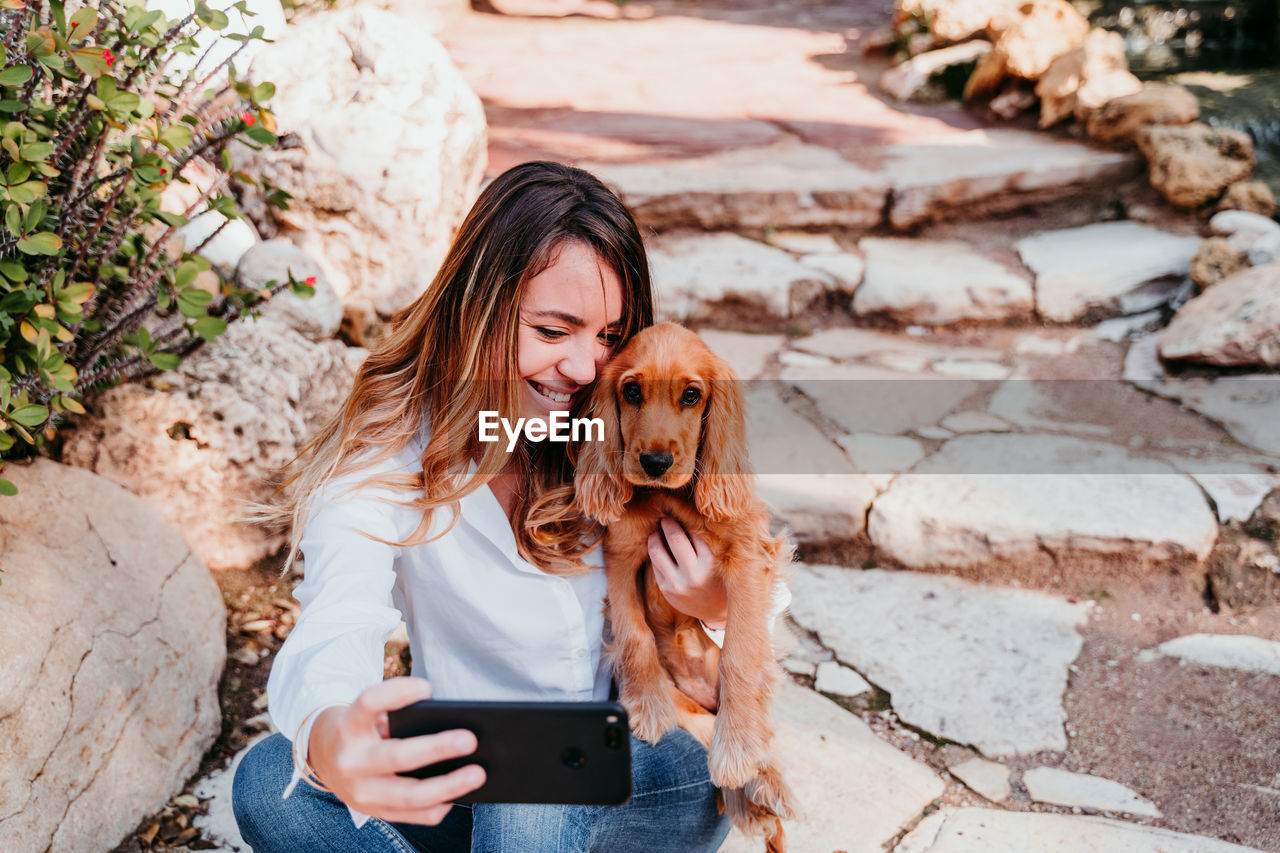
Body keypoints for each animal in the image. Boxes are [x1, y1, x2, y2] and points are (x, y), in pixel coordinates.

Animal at [578, 322, 793, 845]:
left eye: (692, 395)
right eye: (632, 392)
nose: (655, 462)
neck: (667, 499)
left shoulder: (747, 558)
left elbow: (740, 651)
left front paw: (737, 749)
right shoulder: (622, 554)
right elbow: (634, 635)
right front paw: (648, 709)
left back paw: (764, 777)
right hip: (689, 711)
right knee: (698, 729)